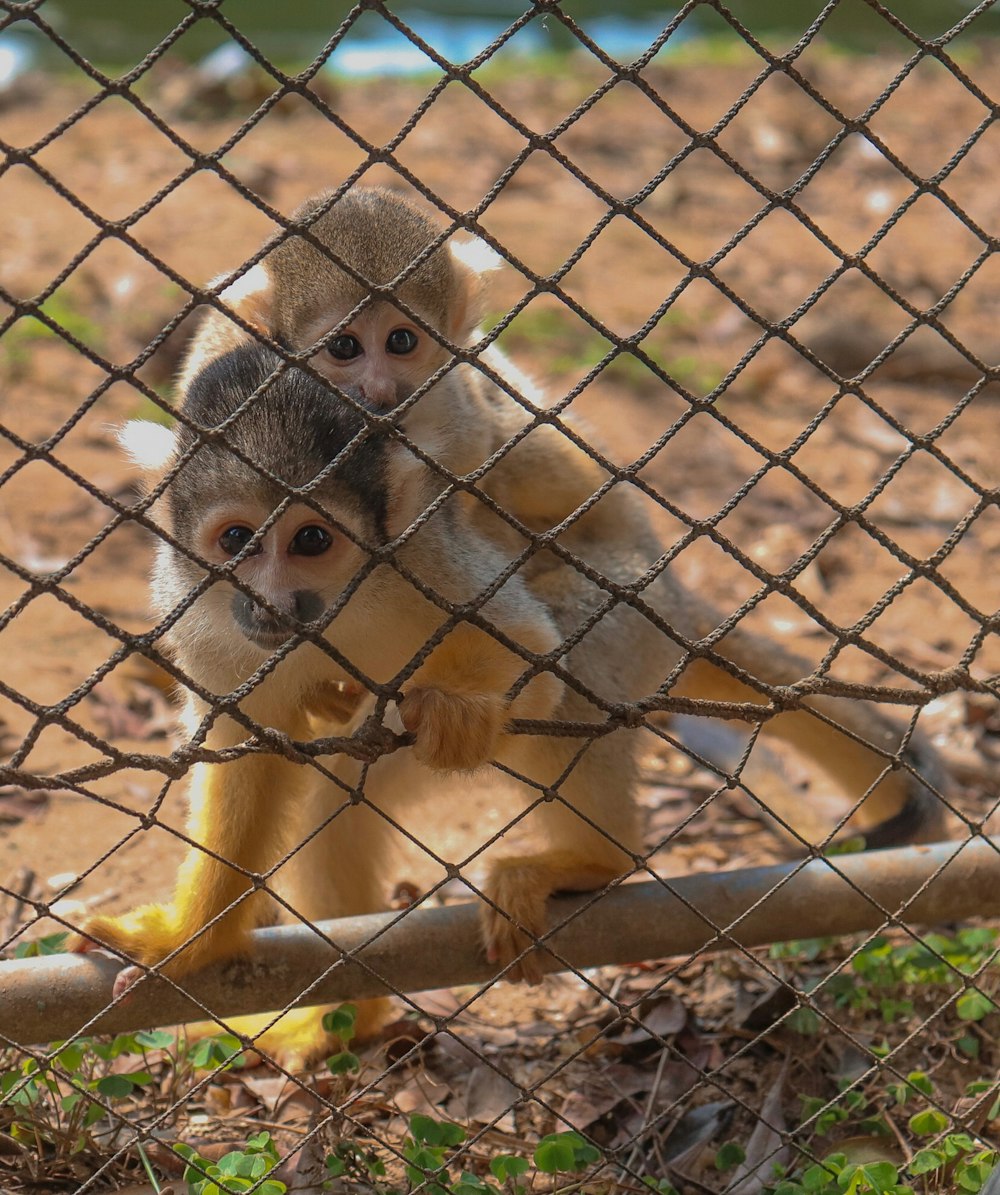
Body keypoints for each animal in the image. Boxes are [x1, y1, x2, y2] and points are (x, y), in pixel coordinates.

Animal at [70, 184, 946, 1065]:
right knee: (334, 800)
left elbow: (528, 643)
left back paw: (592, 857)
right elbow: (246, 754)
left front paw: (459, 712)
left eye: (311, 541)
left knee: (573, 669)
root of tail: (675, 599)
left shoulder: (430, 520)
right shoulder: (202, 614)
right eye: (237, 541)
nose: (273, 602)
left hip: (631, 611)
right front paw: (193, 941)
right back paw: (349, 1013)